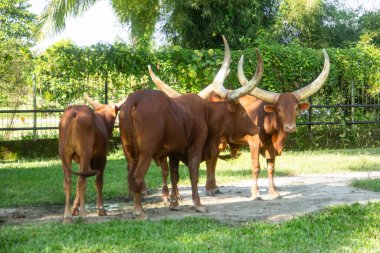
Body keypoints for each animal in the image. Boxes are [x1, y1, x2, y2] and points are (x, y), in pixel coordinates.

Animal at [58, 95, 125, 223]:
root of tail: (74, 113)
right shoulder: (101, 159)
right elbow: (99, 182)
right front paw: (101, 209)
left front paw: (74, 209)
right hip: (85, 154)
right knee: (82, 181)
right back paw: (83, 214)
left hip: (65, 156)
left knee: (68, 182)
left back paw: (67, 215)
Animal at [119, 35, 262, 219]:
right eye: (243, 113)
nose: (256, 129)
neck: (206, 113)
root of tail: (133, 100)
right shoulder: (195, 147)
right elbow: (194, 174)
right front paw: (198, 204)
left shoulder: (173, 152)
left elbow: (175, 176)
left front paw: (174, 203)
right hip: (145, 152)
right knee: (137, 176)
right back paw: (139, 210)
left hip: (129, 151)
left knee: (130, 175)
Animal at [154, 48, 330, 200]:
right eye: (279, 109)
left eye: (295, 108)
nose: (290, 127)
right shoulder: (254, 143)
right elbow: (256, 167)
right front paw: (256, 193)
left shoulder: (271, 148)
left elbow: (271, 167)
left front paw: (273, 192)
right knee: (209, 160)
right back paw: (207, 189)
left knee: (214, 159)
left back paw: (214, 187)